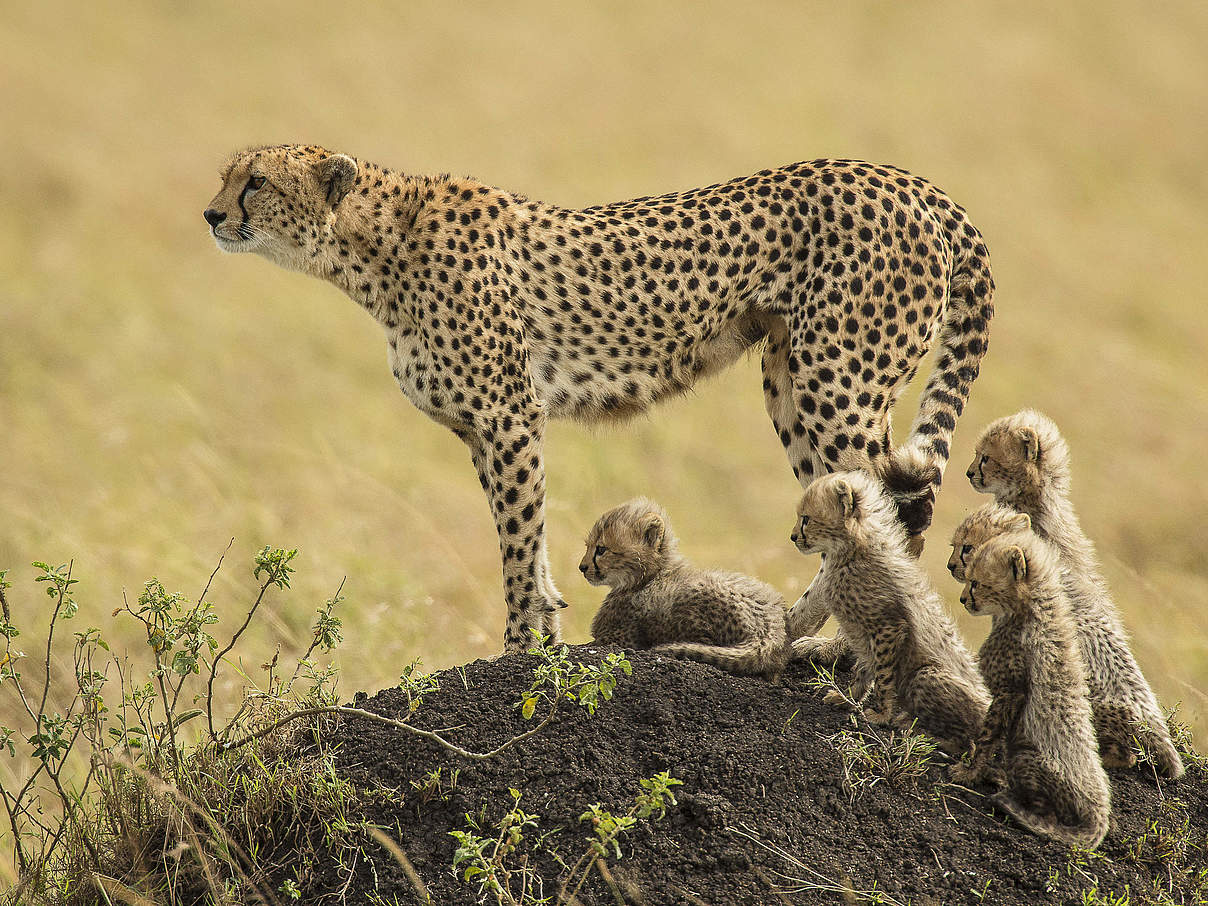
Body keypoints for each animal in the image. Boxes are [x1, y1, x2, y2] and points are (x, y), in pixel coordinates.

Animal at [205, 143, 990, 652]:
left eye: (256, 183)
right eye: (226, 178)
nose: (211, 215)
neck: (373, 250)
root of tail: (912, 181)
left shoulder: (508, 415)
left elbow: (518, 537)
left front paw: (522, 646)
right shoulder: (484, 430)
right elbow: (526, 536)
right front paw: (547, 623)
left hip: (840, 382)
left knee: (889, 515)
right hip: (790, 382)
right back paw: (794, 633)